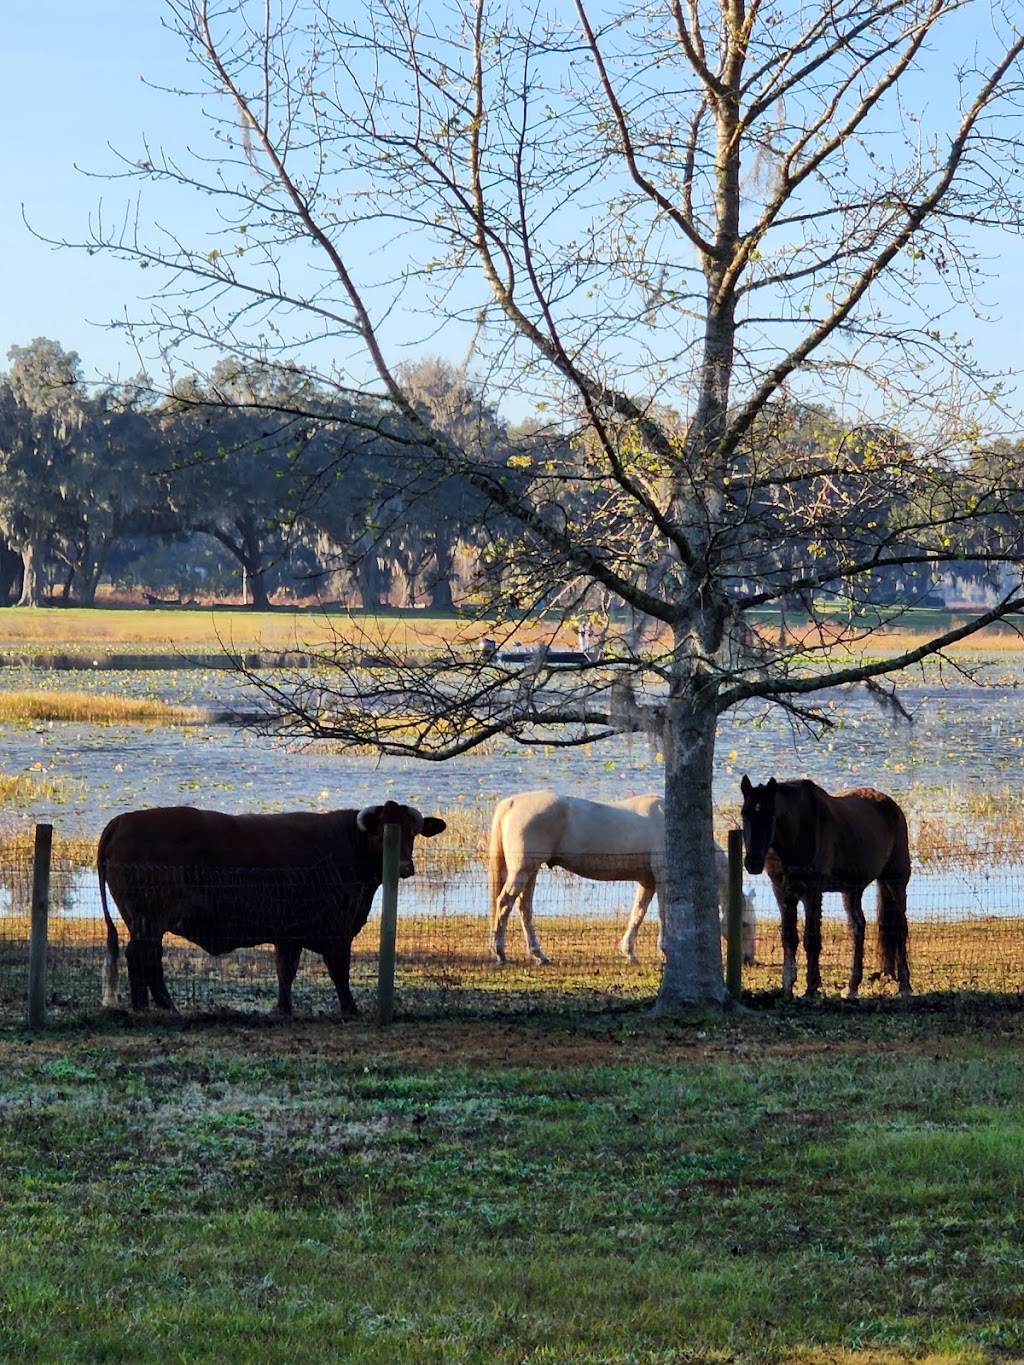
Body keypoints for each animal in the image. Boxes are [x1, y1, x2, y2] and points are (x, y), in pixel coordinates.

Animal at [98, 797, 447, 1015]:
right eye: (381, 835)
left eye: (413, 833)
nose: (404, 867)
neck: (347, 845)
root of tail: (124, 819)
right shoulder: (336, 931)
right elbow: (339, 971)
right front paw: (350, 1008)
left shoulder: (289, 933)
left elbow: (285, 971)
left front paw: (283, 1008)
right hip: (148, 921)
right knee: (142, 957)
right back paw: (156, 1006)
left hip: (146, 924)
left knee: (145, 959)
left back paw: (150, 1005)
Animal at [486, 786, 759, 966]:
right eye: (744, 924)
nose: (749, 959)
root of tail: (510, 803)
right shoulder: (662, 879)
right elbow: (663, 913)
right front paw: (666, 950)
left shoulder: (647, 883)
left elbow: (637, 915)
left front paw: (629, 952)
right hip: (523, 870)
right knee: (504, 903)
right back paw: (500, 953)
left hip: (531, 870)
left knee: (524, 908)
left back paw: (539, 955)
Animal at [742, 780, 912, 1004]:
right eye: (745, 814)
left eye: (770, 814)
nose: (752, 862)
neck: (797, 833)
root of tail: (892, 806)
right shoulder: (783, 893)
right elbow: (789, 938)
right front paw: (787, 987)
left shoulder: (813, 892)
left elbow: (811, 939)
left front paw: (811, 988)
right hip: (852, 890)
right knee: (858, 927)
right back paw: (852, 987)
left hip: (895, 882)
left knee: (899, 930)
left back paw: (905, 986)